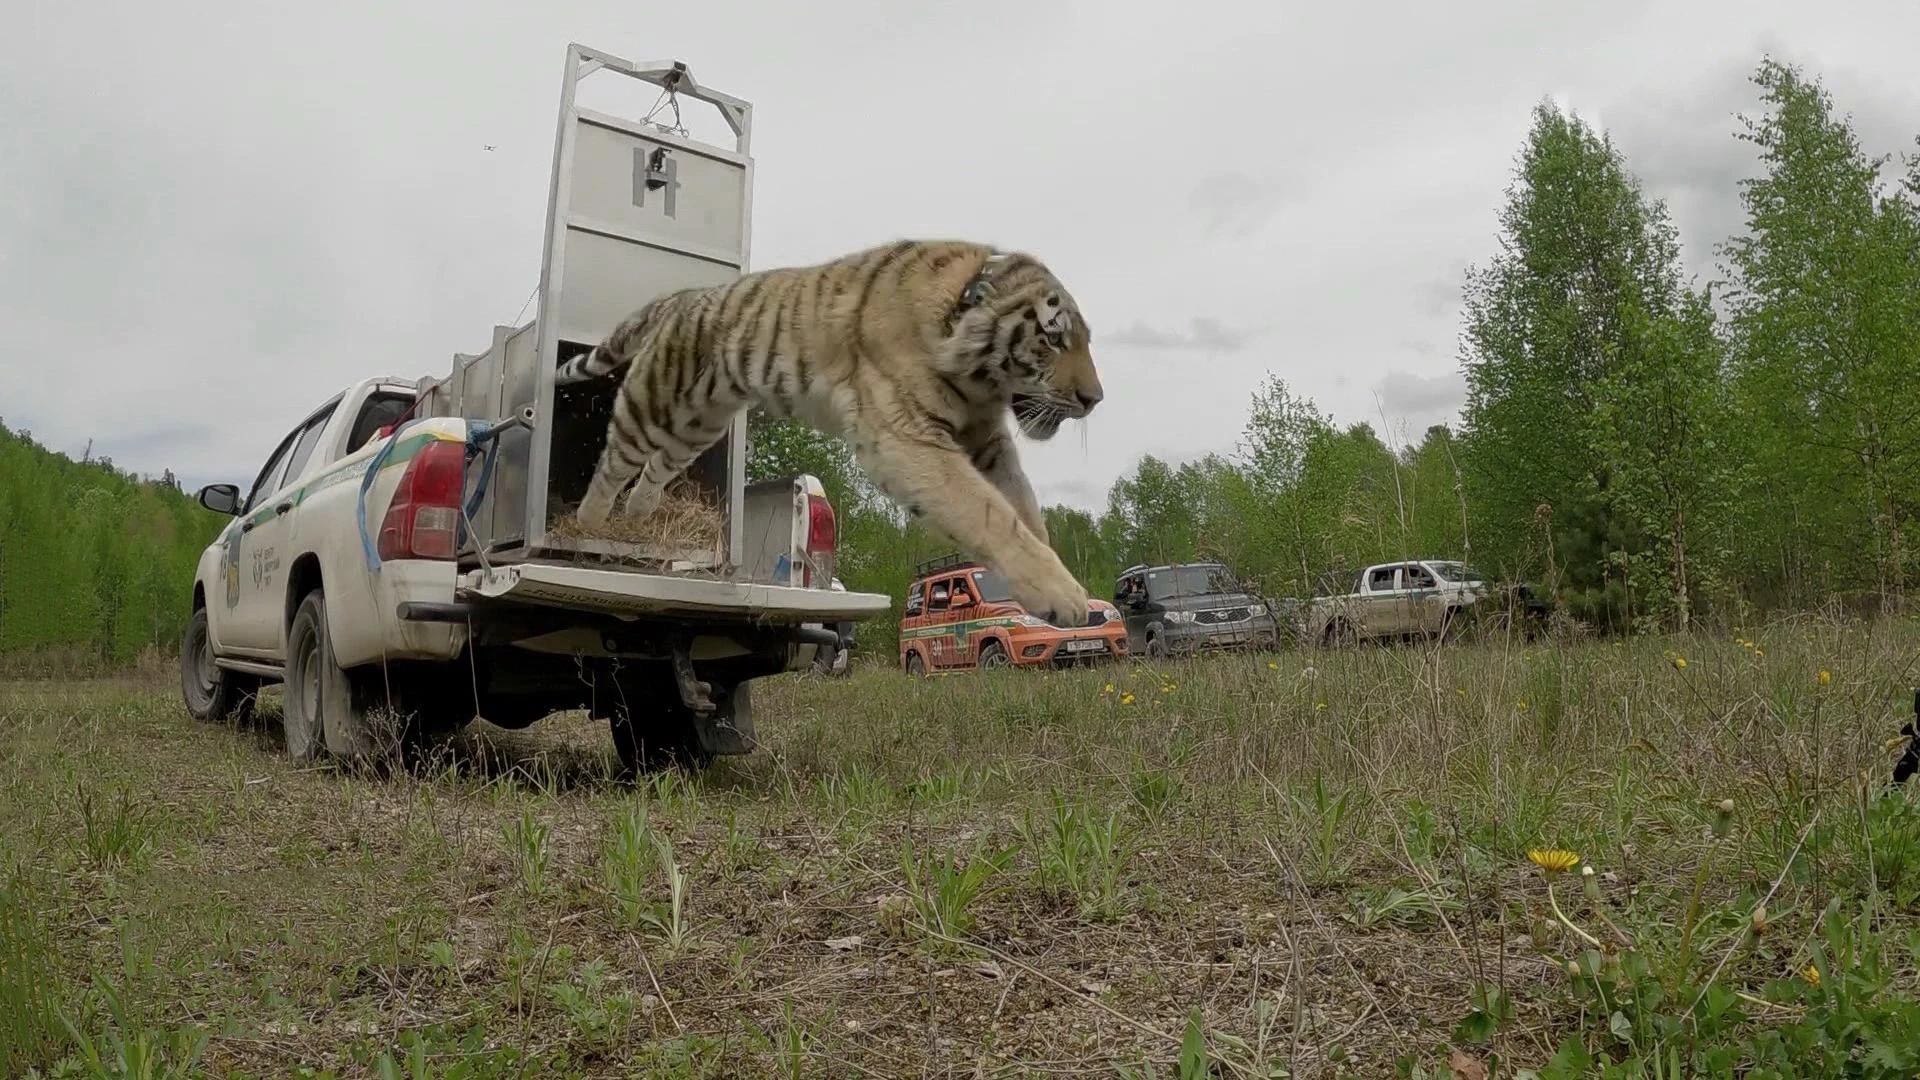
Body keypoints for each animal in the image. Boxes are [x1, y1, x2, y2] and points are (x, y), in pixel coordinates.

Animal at [549, 235, 1105, 622]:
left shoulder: (986, 439)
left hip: (696, 424)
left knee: (656, 468)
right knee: (615, 457)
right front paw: (1064, 597)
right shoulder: (907, 435)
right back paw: (590, 525)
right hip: (656, 401)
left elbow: (1023, 507)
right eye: (1055, 339)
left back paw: (638, 517)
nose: (1094, 399)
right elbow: (990, 513)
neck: (977, 374)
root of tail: (683, 297)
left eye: (1084, 340)